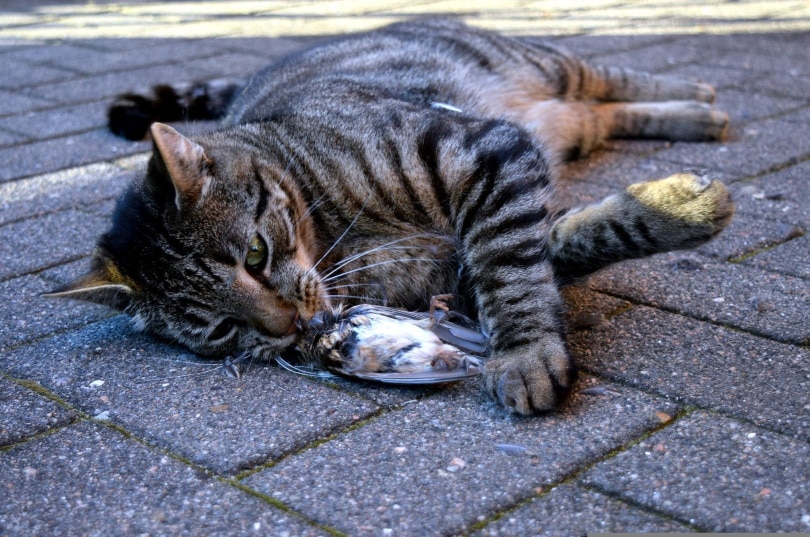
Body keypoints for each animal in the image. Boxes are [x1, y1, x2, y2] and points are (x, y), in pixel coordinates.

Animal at [49, 18, 732, 412]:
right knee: (607, 112)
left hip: (544, 64)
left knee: (612, 77)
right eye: (219, 330)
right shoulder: (462, 259)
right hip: (569, 120)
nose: (289, 326)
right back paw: (694, 116)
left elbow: (509, 266)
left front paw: (524, 352)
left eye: (254, 255)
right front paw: (674, 208)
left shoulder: (480, 153)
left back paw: (700, 98)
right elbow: (562, 243)